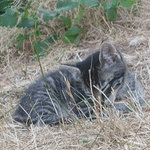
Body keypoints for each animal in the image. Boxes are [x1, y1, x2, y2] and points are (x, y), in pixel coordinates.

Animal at [13, 42, 145, 126]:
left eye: (103, 88)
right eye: (89, 92)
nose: (99, 102)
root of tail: (19, 111)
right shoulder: (84, 108)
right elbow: (111, 109)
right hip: (48, 100)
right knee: (42, 120)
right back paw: (69, 118)